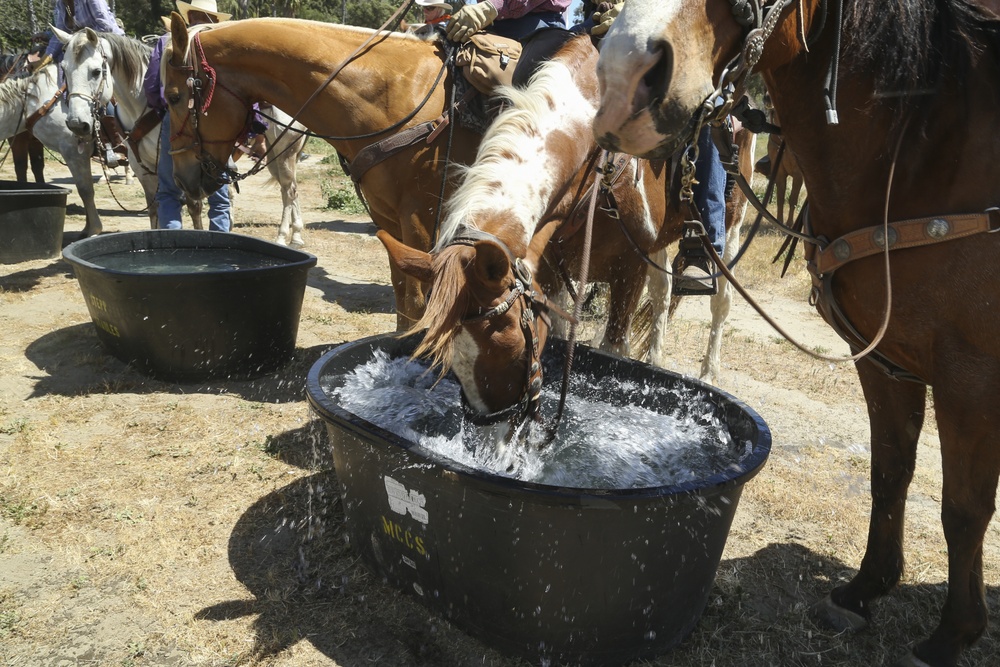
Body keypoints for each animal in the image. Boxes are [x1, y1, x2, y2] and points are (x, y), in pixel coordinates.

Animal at [58, 28, 306, 248]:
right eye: (64, 71)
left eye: (95, 71)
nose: (77, 123)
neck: (146, 105)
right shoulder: (143, 169)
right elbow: (154, 208)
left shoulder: (187, 168)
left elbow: (194, 206)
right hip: (272, 155)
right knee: (288, 190)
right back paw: (296, 234)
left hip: (286, 152)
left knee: (290, 190)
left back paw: (285, 236)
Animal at [160, 14, 480, 330]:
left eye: (174, 97)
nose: (180, 178)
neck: (394, 94)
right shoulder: (388, 218)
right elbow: (403, 301)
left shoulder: (420, 218)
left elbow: (416, 304)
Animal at [378, 31, 752, 440]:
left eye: (510, 347)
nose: (491, 429)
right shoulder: (551, 266)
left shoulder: (629, 267)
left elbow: (615, 349)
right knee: (663, 292)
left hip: (730, 230)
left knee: (720, 302)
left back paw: (709, 371)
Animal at [592, 1, 1000, 667]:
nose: (624, 74)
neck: (930, 149)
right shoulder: (882, 358)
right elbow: (890, 471)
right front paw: (863, 590)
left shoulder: (972, 378)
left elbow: (964, 509)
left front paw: (950, 636)